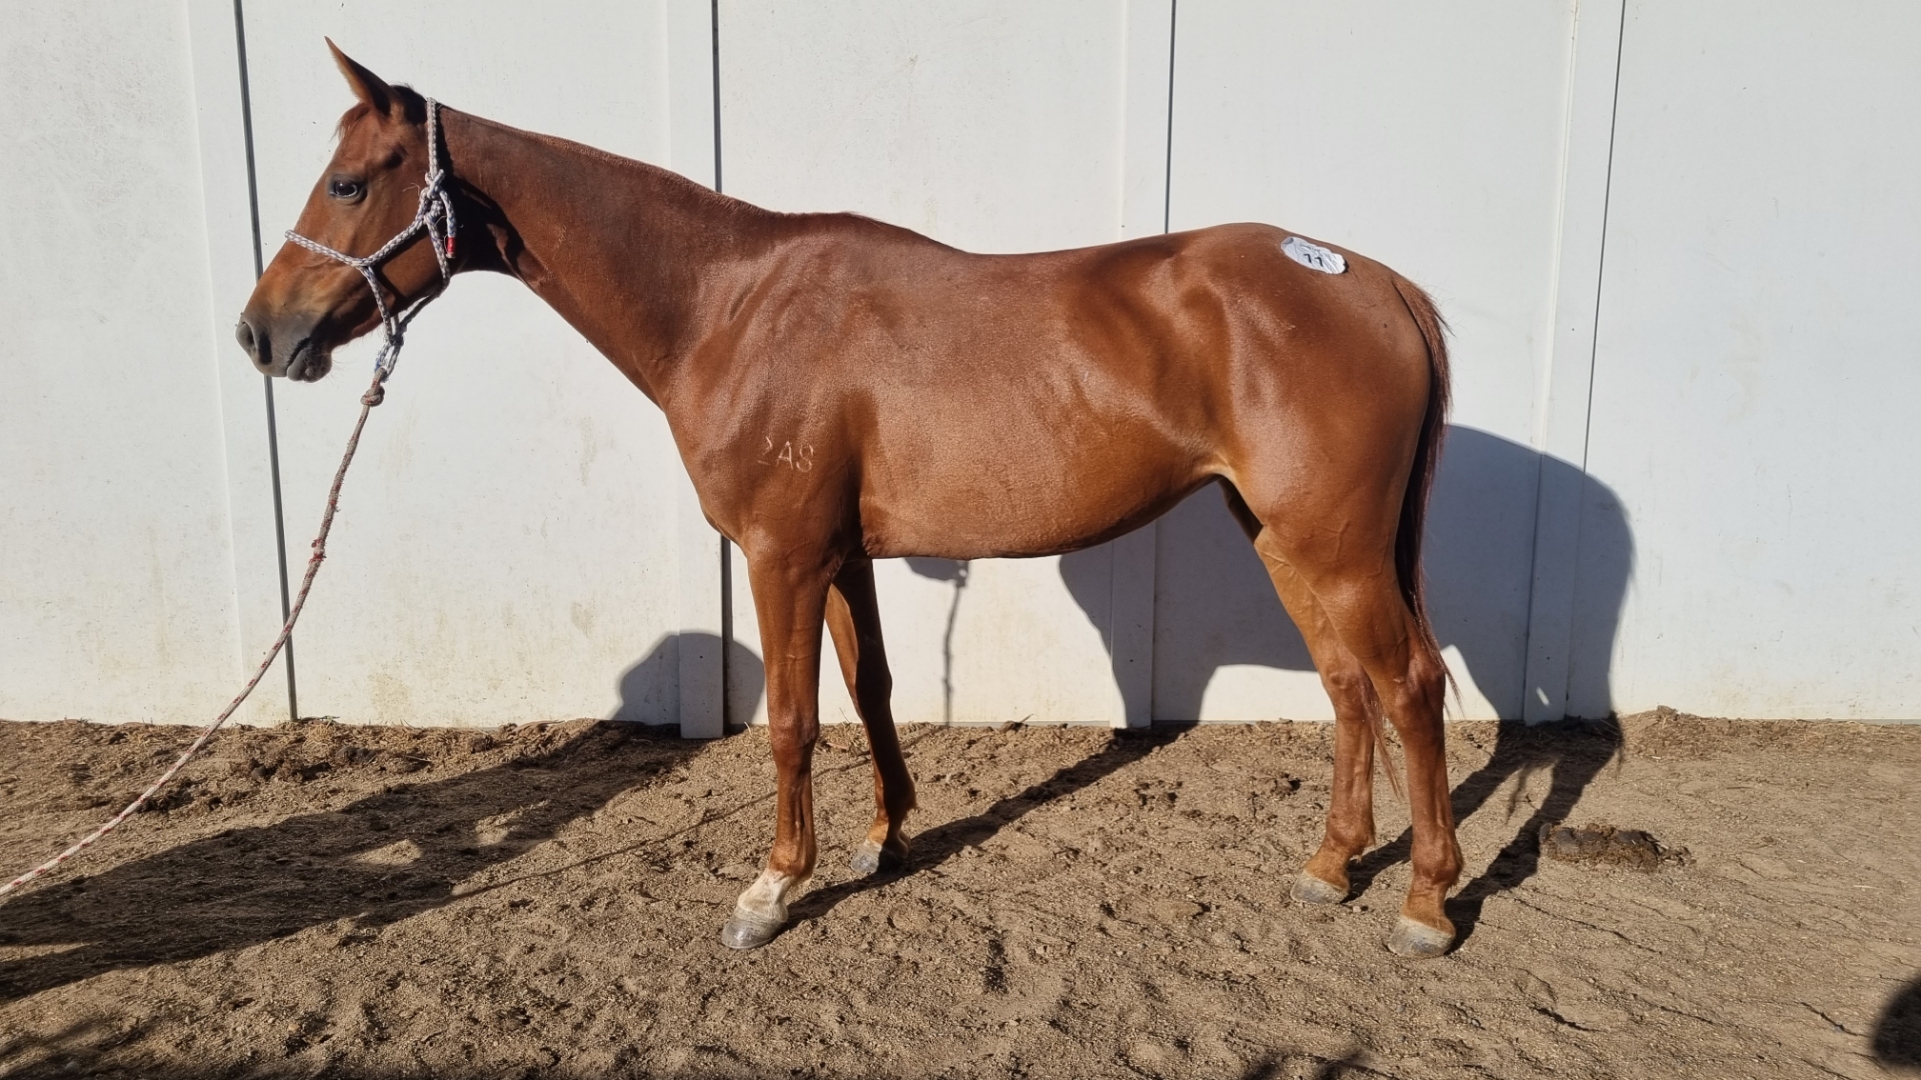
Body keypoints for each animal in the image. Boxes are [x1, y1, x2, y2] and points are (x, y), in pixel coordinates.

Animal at [237, 43, 1464, 958]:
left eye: (349, 183)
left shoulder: (778, 553)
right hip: (1282, 538)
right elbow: (869, 689)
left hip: (1335, 546)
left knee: (1406, 685)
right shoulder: (841, 555)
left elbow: (790, 721)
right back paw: (1329, 868)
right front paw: (884, 841)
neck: (727, 307)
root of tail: (1375, 283)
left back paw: (1425, 903)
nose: (260, 335)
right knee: (1348, 686)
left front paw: (773, 889)